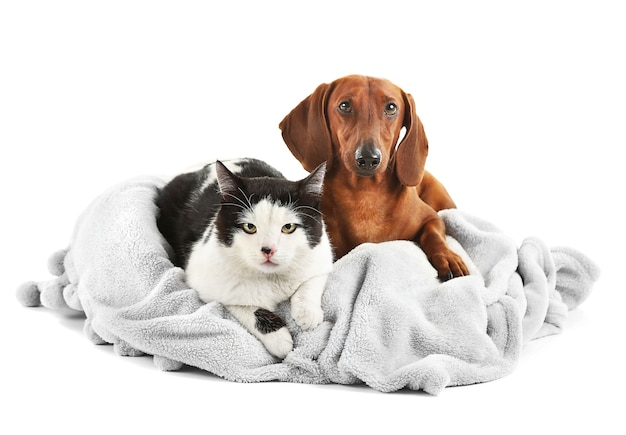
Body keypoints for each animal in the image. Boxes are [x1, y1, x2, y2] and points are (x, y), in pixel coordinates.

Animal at [155, 158, 332, 360]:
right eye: (249, 227)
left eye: (288, 227)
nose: (268, 250)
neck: (272, 278)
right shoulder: (208, 283)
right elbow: (245, 307)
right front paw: (279, 339)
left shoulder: (322, 252)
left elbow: (312, 280)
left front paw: (307, 313)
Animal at [280, 75, 466, 282]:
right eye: (345, 105)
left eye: (391, 107)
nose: (368, 158)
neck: (365, 195)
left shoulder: (432, 218)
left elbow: (433, 236)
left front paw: (448, 257)